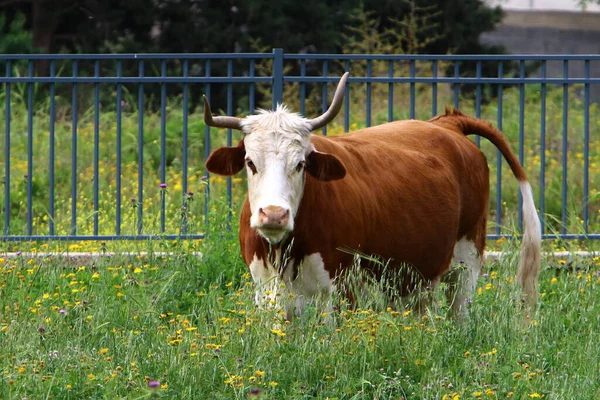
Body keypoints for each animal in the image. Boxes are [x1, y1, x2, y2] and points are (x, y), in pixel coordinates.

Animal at [204, 72, 540, 320]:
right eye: (250, 162)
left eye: (300, 164)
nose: (274, 214)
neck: (285, 250)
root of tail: (448, 124)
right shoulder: (267, 292)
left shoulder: (341, 291)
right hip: (413, 279)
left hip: (467, 260)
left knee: (460, 313)